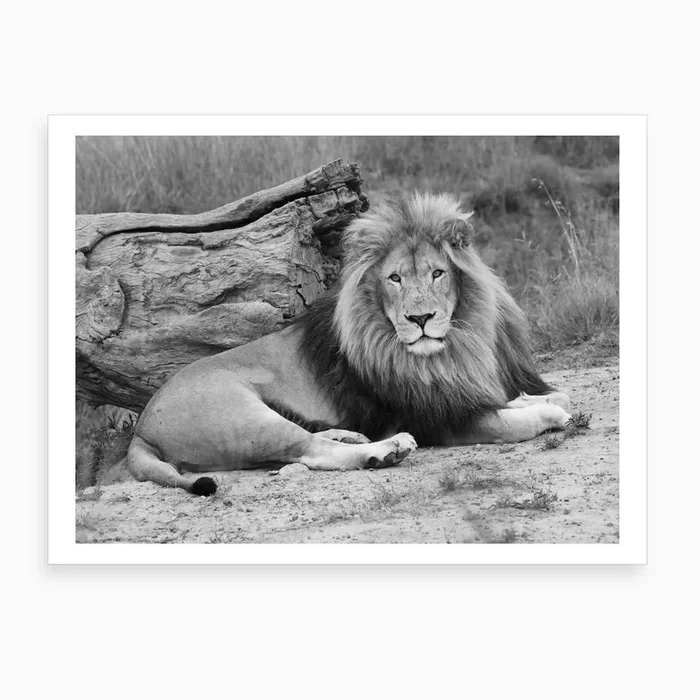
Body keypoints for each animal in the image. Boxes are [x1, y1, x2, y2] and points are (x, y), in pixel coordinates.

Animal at [127, 193, 571, 495]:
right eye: (395, 279)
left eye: (438, 274)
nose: (421, 319)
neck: (443, 353)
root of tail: (141, 428)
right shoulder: (439, 418)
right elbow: (514, 421)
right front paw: (550, 414)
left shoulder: (458, 392)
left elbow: (533, 397)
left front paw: (540, 398)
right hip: (243, 418)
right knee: (309, 451)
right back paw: (384, 449)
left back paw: (351, 436)